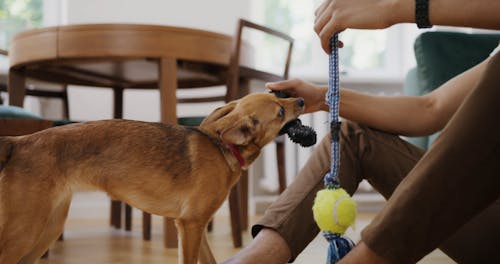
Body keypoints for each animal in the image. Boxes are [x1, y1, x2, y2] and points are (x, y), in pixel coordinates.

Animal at [0, 92, 304, 262]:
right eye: (280, 112)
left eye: (281, 97)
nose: (301, 99)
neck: (222, 148)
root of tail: (19, 142)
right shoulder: (190, 226)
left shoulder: (196, 227)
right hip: (24, 232)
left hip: (47, 229)